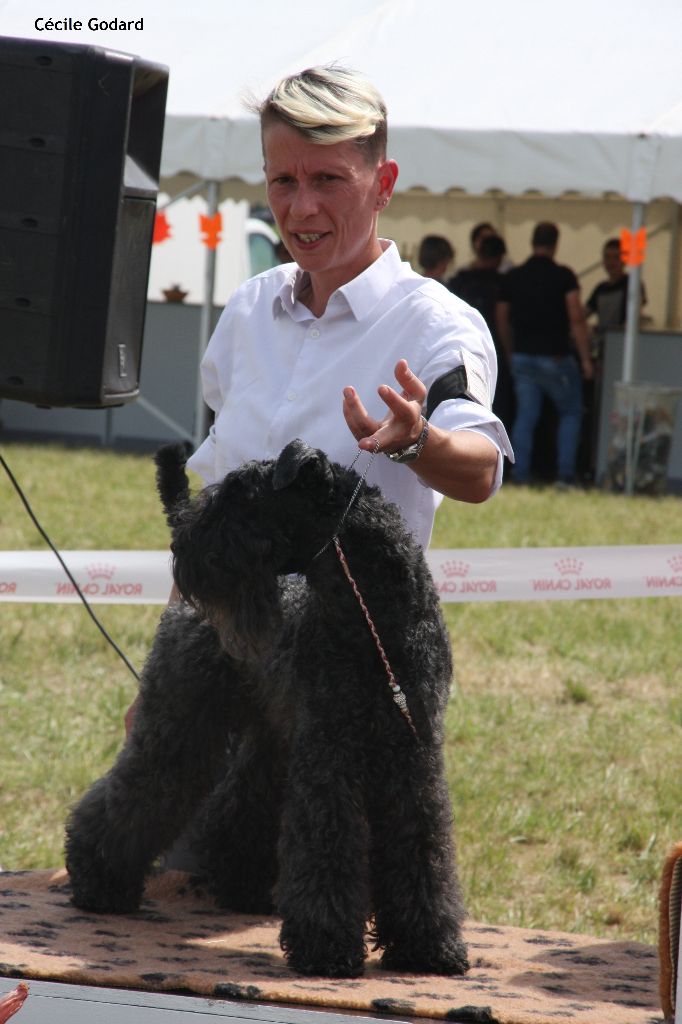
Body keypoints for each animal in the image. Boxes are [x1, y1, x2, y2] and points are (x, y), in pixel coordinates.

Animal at [65, 438, 466, 974]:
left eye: (242, 494)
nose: (184, 549)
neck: (378, 625)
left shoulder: (413, 760)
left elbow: (422, 849)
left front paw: (429, 945)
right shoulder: (328, 760)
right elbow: (326, 845)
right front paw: (326, 946)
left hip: (272, 741)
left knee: (237, 805)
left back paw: (241, 886)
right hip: (182, 726)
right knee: (137, 793)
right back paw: (99, 882)